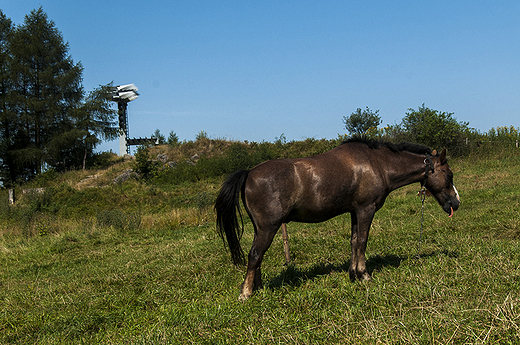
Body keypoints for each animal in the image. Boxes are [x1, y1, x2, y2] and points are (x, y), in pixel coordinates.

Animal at [214, 136, 460, 298]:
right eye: (449, 175)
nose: (456, 203)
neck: (377, 164)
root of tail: (248, 173)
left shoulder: (354, 211)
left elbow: (353, 241)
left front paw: (353, 274)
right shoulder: (366, 209)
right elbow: (362, 242)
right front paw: (364, 275)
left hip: (261, 229)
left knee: (258, 257)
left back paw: (258, 288)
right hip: (268, 227)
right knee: (255, 255)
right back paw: (246, 293)